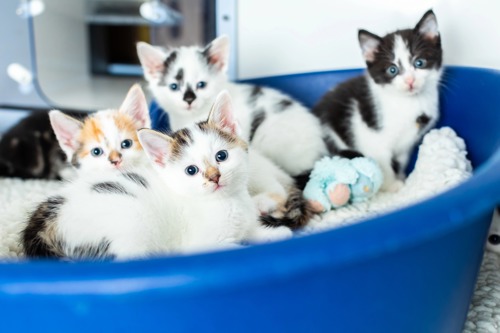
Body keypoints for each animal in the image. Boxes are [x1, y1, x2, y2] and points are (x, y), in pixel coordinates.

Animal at [23, 90, 294, 260]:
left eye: (221, 156)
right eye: (191, 170)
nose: (214, 177)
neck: (228, 203)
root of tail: (43, 225)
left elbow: (253, 232)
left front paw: (277, 234)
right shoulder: (203, 245)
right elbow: (236, 246)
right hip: (131, 225)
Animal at [312, 9, 442, 189]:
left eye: (419, 62)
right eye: (392, 70)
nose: (410, 81)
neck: (409, 102)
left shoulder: (406, 144)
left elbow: (402, 160)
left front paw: (401, 178)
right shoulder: (372, 138)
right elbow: (383, 163)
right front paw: (391, 186)